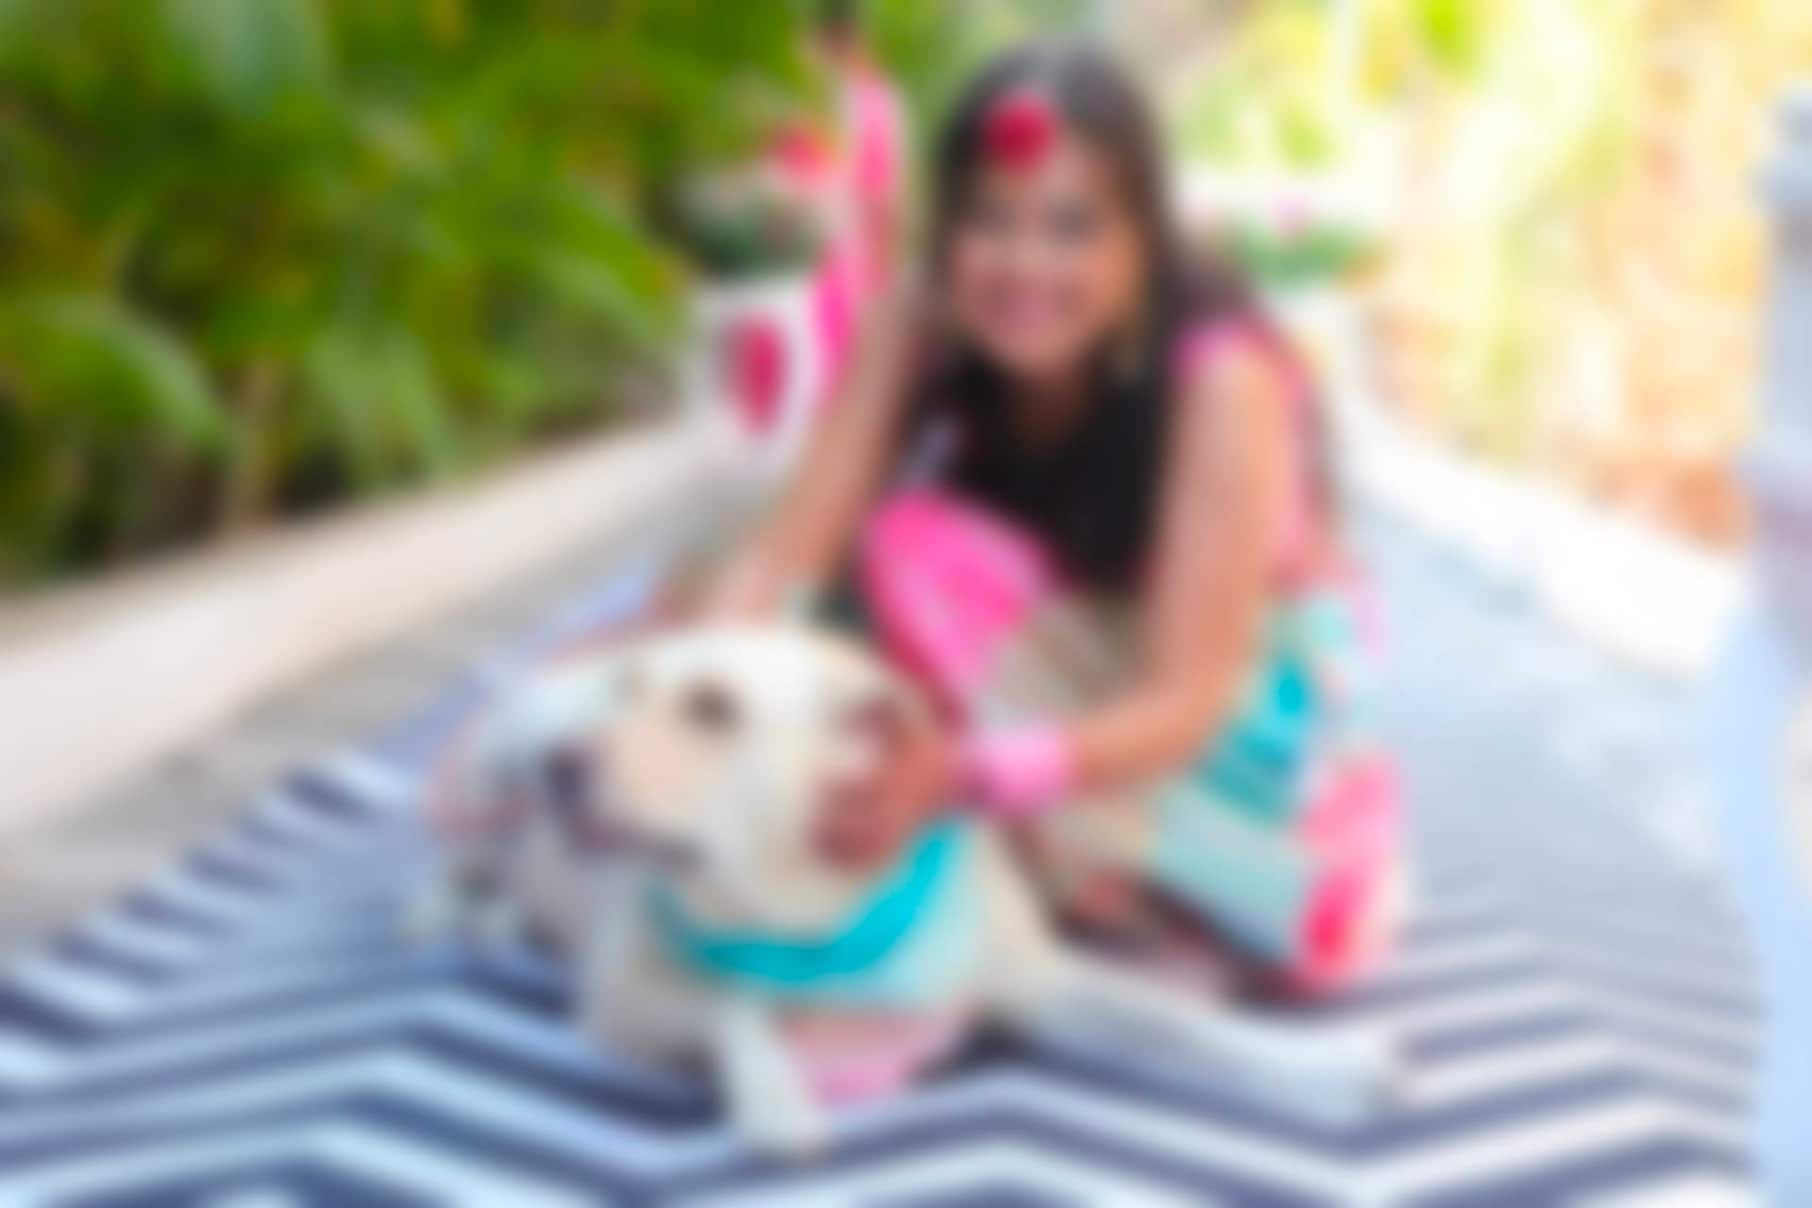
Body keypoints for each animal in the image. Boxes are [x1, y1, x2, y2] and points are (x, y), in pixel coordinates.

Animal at [414, 623, 1399, 1159]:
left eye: (715, 708)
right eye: (632, 692)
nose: (560, 769)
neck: (827, 903)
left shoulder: (1037, 980)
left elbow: (1182, 1026)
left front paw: (1326, 1067)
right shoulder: (620, 1000)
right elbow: (731, 1001)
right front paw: (774, 1098)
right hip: (491, 770)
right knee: (448, 881)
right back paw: (471, 918)